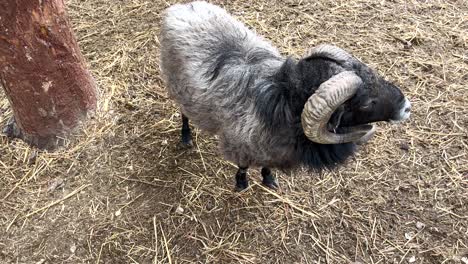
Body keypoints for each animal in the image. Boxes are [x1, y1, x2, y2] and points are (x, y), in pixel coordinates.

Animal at [159, 1, 412, 191]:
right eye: (367, 103)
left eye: (374, 74)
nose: (406, 106)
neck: (284, 99)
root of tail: (181, 7)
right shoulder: (240, 143)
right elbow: (243, 166)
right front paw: (241, 184)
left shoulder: (269, 148)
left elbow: (267, 165)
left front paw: (269, 179)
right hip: (179, 87)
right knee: (183, 113)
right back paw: (186, 137)